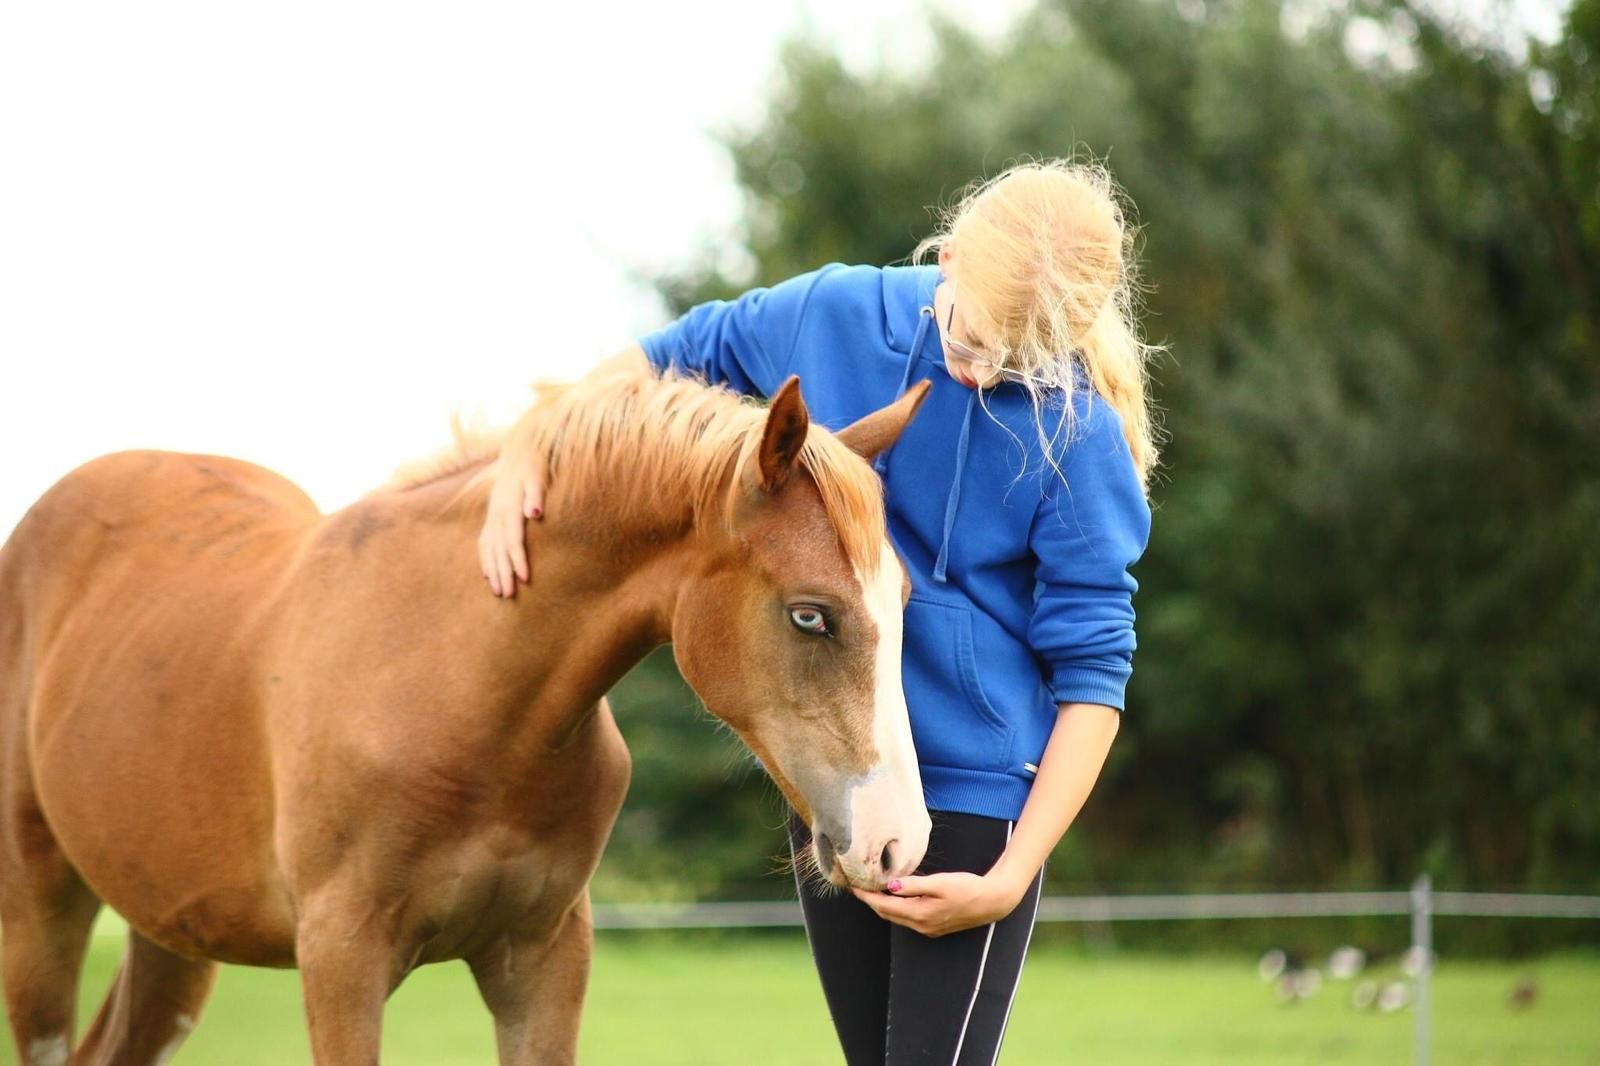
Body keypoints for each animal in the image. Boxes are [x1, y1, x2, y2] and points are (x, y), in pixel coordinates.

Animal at [0, 371, 933, 1065]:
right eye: (810, 615)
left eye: (901, 600)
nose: (899, 843)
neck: (463, 696)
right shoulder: (340, 963)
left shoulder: (542, 960)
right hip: (42, 909)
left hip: (169, 935)